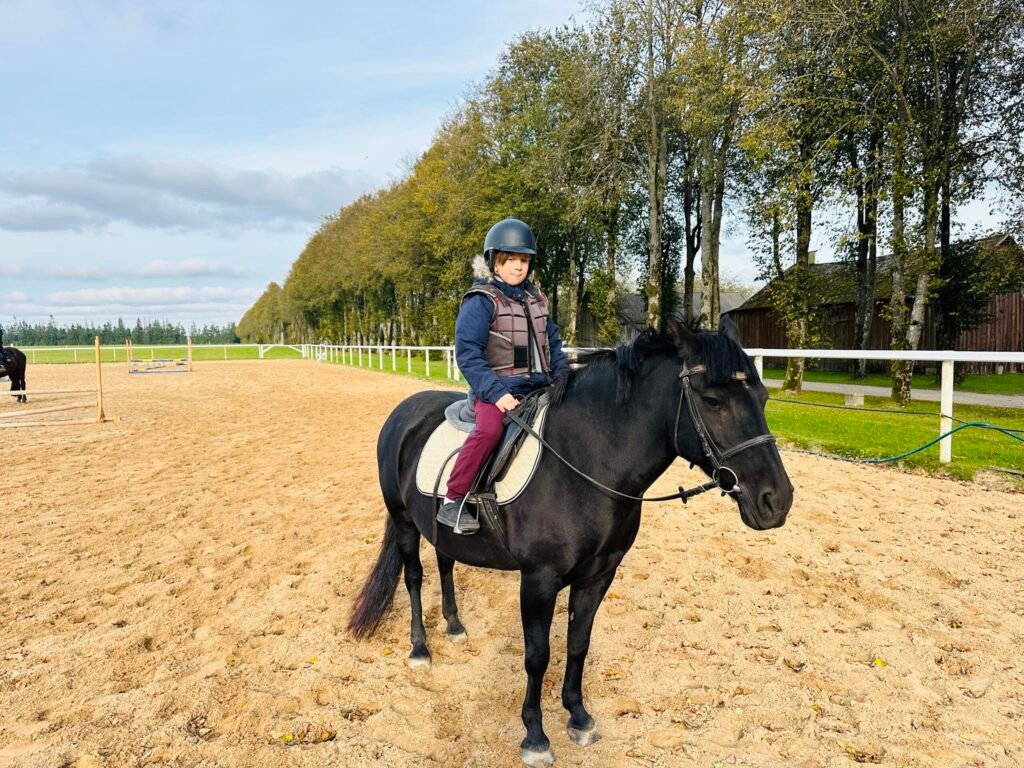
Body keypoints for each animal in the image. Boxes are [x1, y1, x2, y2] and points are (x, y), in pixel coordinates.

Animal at [348, 317, 793, 768]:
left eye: (763, 397)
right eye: (714, 401)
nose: (776, 501)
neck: (585, 463)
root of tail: (406, 410)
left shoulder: (598, 575)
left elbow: (578, 644)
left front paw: (578, 717)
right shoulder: (538, 580)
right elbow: (537, 655)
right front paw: (535, 736)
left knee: (445, 563)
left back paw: (455, 627)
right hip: (403, 521)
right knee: (414, 577)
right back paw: (420, 650)